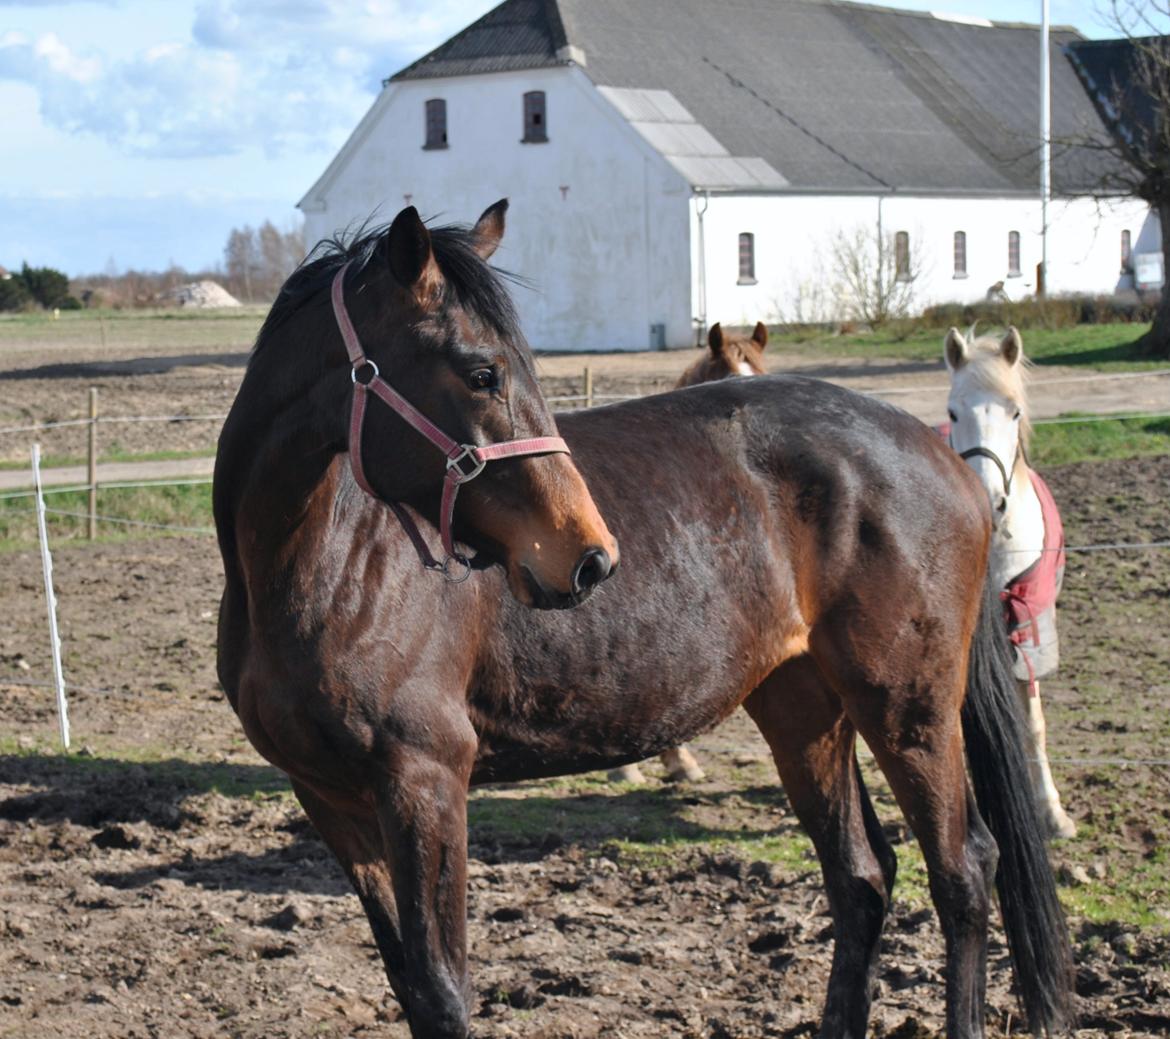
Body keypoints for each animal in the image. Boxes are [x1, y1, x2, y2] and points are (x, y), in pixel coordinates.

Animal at [940, 327, 1076, 842]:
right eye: (953, 412)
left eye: (1014, 411)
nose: (988, 499)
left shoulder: (1028, 634)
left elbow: (1032, 724)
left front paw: (1052, 814)